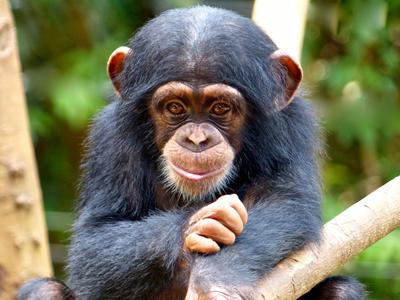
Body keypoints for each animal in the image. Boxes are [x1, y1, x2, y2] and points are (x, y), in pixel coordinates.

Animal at [19, 5, 366, 300]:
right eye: (175, 107)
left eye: (220, 108)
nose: (197, 139)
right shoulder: (110, 136)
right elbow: (95, 239)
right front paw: (198, 224)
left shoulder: (292, 127)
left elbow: (284, 201)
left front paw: (217, 281)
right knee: (44, 291)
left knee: (341, 292)